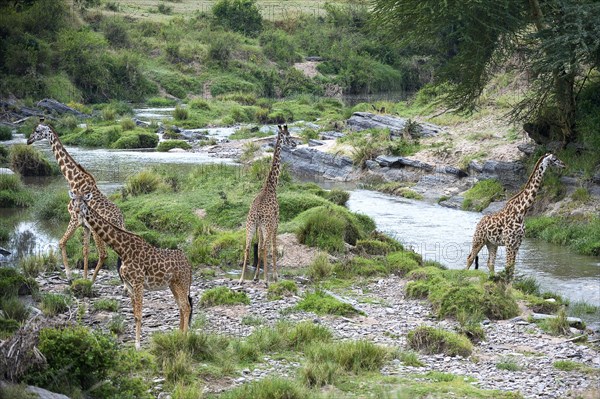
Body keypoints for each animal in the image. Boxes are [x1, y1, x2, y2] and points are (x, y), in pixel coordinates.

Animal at [28, 123, 124, 282]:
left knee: (103, 254)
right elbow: (85, 251)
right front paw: (83, 278)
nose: (28, 140)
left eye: (37, 131)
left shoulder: (74, 218)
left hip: (99, 233)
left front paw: (69, 276)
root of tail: (119, 219)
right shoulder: (85, 226)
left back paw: (92, 282)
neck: (73, 180)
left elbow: (61, 242)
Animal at [70, 191, 192, 350]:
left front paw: (138, 346)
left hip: (182, 283)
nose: (78, 211)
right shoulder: (129, 284)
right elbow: (134, 315)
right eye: (74, 201)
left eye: (84, 202)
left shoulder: (138, 282)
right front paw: (136, 343)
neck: (123, 250)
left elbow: (139, 314)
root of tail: (189, 264)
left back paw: (184, 339)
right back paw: (179, 336)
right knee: (181, 307)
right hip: (173, 285)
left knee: (186, 307)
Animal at [239, 125, 296, 284]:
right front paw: (275, 276)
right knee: (266, 247)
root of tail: (257, 213)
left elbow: (257, 248)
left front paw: (256, 276)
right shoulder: (277, 222)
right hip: (267, 226)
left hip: (250, 226)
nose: (295, 144)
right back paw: (266, 280)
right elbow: (274, 248)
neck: (270, 186)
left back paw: (241, 279)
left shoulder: (259, 228)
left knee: (248, 247)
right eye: (288, 136)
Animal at [464, 153, 568, 282]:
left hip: (492, 243)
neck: (522, 211)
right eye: (554, 159)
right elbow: (508, 267)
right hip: (479, 239)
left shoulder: (517, 243)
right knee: (470, 257)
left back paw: (492, 278)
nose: (564, 164)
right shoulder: (509, 242)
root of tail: (479, 222)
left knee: (490, 262)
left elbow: (511, 268)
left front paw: (508, 287)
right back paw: (464, 276)